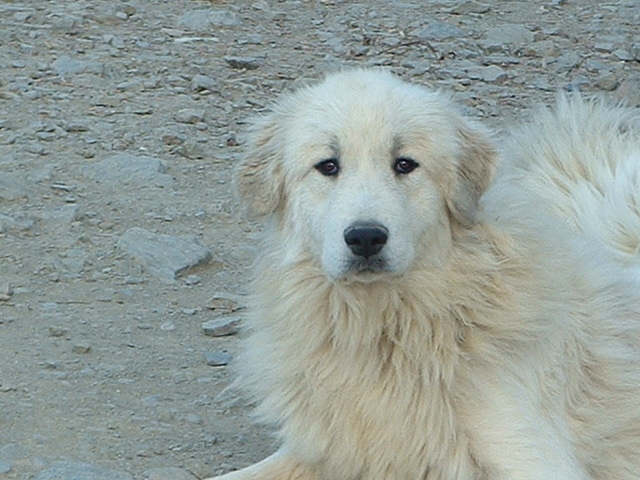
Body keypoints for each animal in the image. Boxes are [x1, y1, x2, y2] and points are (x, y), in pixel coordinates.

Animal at [214, 68, 640, 480]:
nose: (365, 237)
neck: (385, 328)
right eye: (328, 166)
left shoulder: (532, 459)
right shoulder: (329, 451)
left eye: (405, 164)